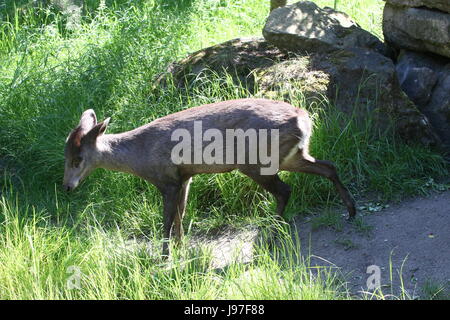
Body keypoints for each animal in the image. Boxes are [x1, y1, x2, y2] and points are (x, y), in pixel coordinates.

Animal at [64, 99, 356, 256]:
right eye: (64, 155)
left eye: (78, 159)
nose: (67, 186)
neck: (140, 155)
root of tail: (304, 118)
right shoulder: (185, 178)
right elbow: (180, 214)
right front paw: (181, 248)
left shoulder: (167, 180)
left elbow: (166, 220)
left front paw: (164, 256)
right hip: (291, 155)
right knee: (328, 167)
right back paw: (351, 211)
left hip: (255, 161)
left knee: (284, 190)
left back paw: (270, 237)